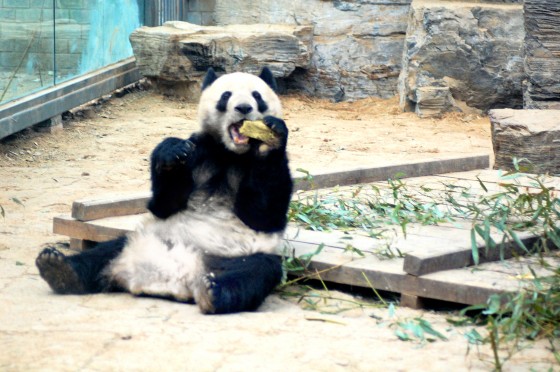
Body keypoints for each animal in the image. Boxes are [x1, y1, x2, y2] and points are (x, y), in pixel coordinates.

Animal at [36, 67, 294, 314]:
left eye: (257, 96)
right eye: (226, 96)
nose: (243, 107)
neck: (229, 153)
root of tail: (170, 281)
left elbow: (263, 215)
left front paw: (270, 138)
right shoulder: (200, 151)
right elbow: (163, 204)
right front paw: (171, 153)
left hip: (239, 257)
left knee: (255, 272)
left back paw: (214, 293)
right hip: (139, 238)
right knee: (103, 253)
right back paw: (60, 270)